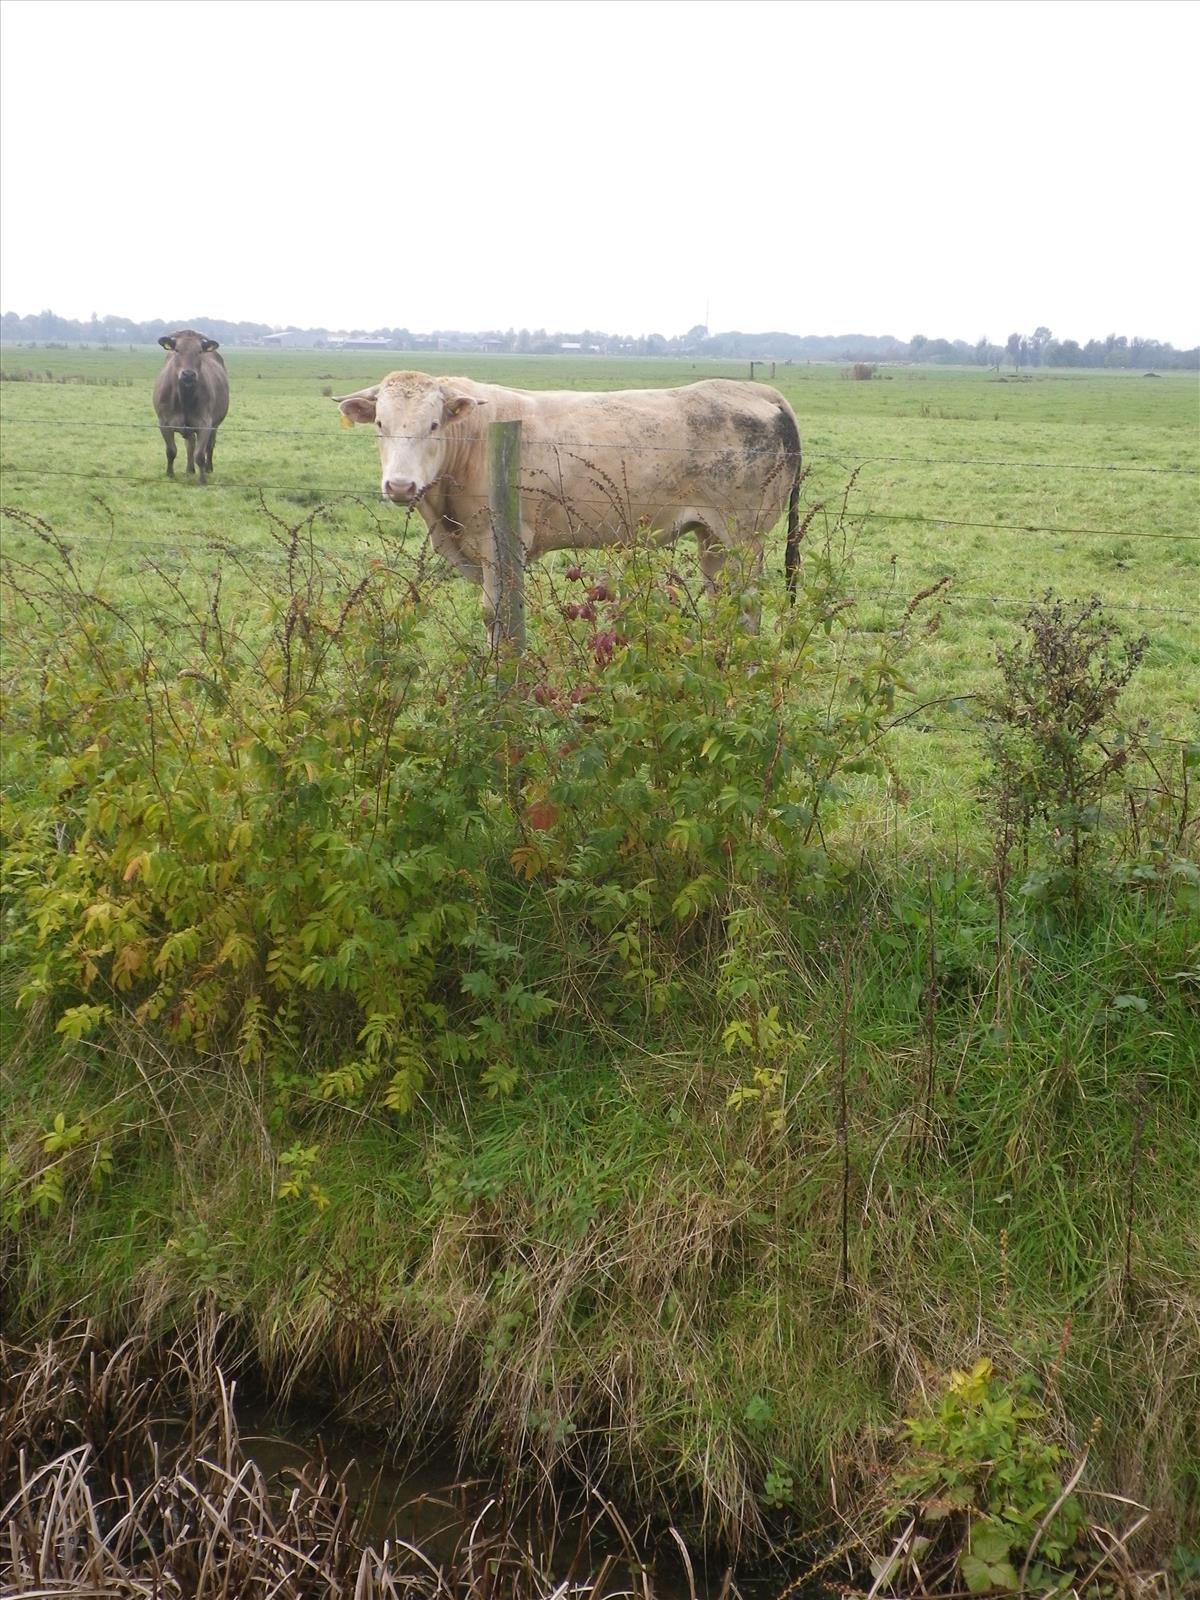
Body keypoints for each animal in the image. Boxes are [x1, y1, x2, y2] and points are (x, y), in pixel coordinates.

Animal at [152, 331, 230, 486]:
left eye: (199, 351)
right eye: (177, 350)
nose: (188, 374)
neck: (184, 398)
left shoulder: (205, 424)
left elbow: (199, 455)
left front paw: (202, 480)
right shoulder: (163, 423)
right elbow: (171, 451)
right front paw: (169, 474)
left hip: (215, 425)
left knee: (209, 446)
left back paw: (208, 468)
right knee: (190, 444)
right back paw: (189, 469)